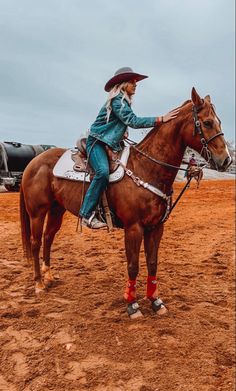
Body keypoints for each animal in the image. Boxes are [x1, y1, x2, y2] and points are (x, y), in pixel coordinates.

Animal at [19, 88, 230, 318]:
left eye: (219, 121)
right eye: (207, 122)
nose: (226, 160)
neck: (146, 168)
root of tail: (34, 162)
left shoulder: (156, 227)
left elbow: (152, 263)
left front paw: (155, 301)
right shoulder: (133, 228)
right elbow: (133, 265)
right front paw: (132, 305)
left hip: (57, 209)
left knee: (48, 237)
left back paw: (48, 277)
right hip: (37, 212)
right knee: (36, 242)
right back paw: (39, 284)